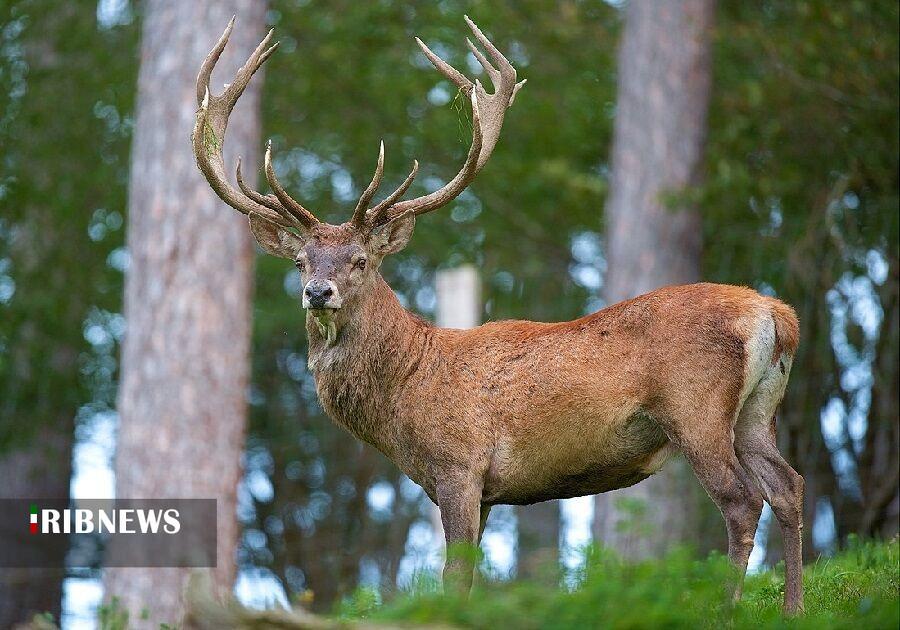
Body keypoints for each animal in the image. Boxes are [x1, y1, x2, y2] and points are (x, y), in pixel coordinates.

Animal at [193, 16, 804, 616]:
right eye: (300, 261)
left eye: (360, 260)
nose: (317, 292)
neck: (406, 390)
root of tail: (775, 314)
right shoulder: (482, 490)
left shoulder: (459, 466)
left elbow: (454, 577)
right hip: (757, 412)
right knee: (789, 486)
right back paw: (794, 608)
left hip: (696, 408)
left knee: (742, 501)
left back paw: (726, 609)